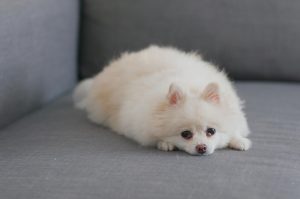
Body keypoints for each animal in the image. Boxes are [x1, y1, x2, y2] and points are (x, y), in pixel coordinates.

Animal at [74, 45, 252, 155]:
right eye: (186, 134)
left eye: (211, 131)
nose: (201, 147)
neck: (190, 85)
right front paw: (165, 143)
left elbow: (235, 128)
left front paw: (239, 140)